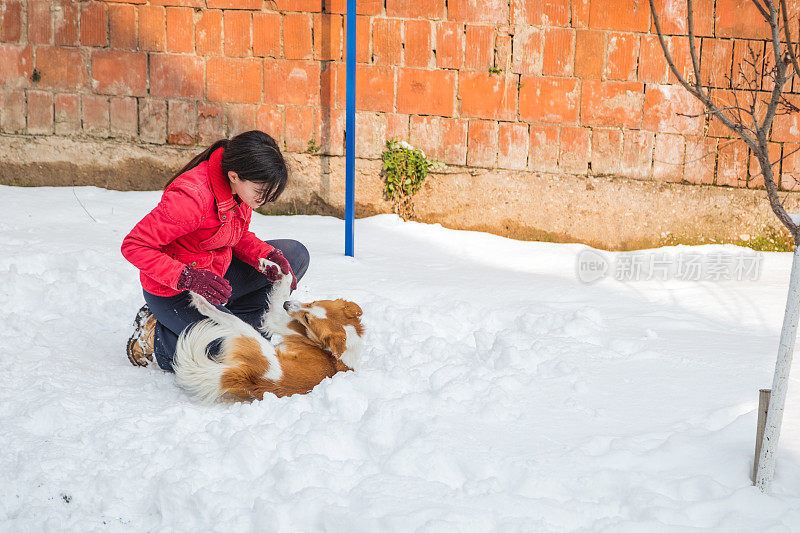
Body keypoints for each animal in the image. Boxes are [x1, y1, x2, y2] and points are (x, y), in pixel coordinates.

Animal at [175, 258, 366, 404]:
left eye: (307, 320)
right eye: (313, 303)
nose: (286, 305)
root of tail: (252, 377)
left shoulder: (279, 320)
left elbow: (286, 283)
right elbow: (286, 277)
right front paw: (272, 265)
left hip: (248, 333)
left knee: (220, 314)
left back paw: (199, 295)